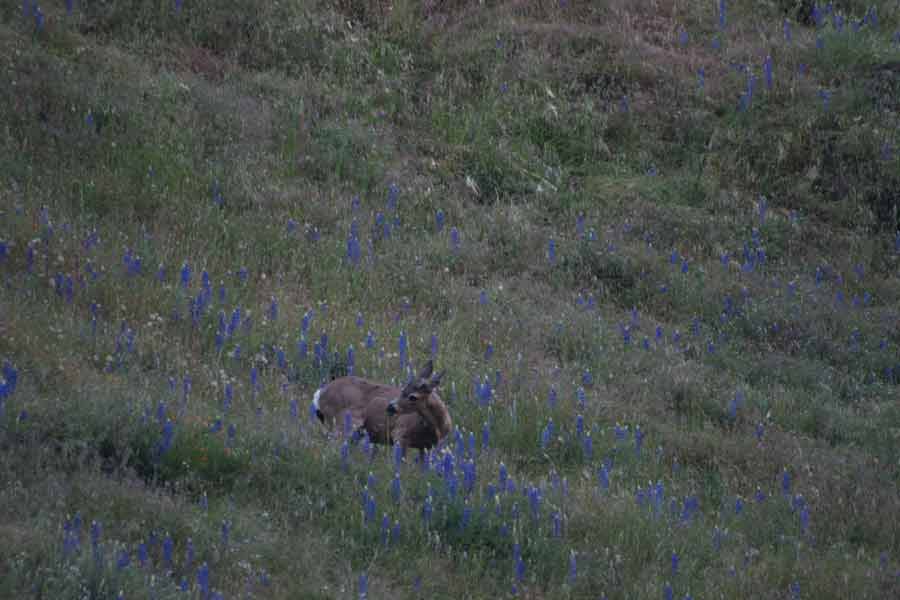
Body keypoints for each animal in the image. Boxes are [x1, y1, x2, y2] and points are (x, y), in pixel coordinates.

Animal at [312, 360, 453, 451]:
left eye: (413, 396)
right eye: (403, 389)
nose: (390, 407)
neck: (436, 426)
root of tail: (320, 394)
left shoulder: (427, 447)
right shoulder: (400, 435)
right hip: (343, 421)